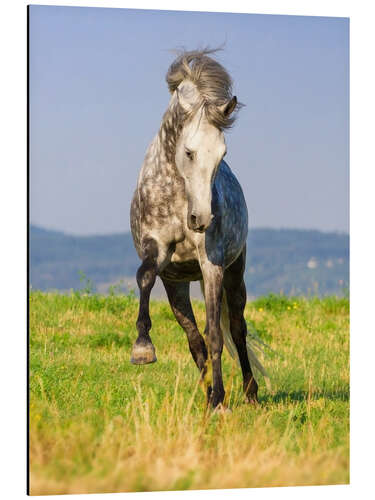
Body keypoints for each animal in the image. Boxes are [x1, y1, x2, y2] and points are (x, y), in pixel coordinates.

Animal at [131, 49, 266, 410]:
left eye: (222, 153)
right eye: (189, 152)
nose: (201, 219)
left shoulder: (212, 265)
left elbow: (216, 335)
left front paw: (219, 400)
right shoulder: (158, 252)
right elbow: (144, 276)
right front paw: (142, 349)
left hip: (234, 273)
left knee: (236, 329)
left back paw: (248, 393)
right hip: (176, 284)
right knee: (194, 341)